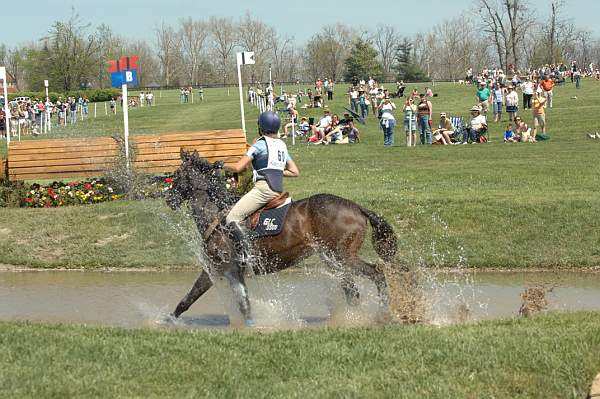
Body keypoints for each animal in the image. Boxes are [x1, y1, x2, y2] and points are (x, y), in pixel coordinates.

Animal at [165, 152, 398, 326]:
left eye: (177, 175)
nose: (169, 199)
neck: (215, 215)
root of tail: (356, 207)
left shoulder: (231, 269)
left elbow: (244, 305)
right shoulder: (212, 268)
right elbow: (188, 299)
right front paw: (167, 321)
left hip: (342, 256)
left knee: (376, 274)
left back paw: (380, 315)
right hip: (332, 259)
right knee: (352, 291)